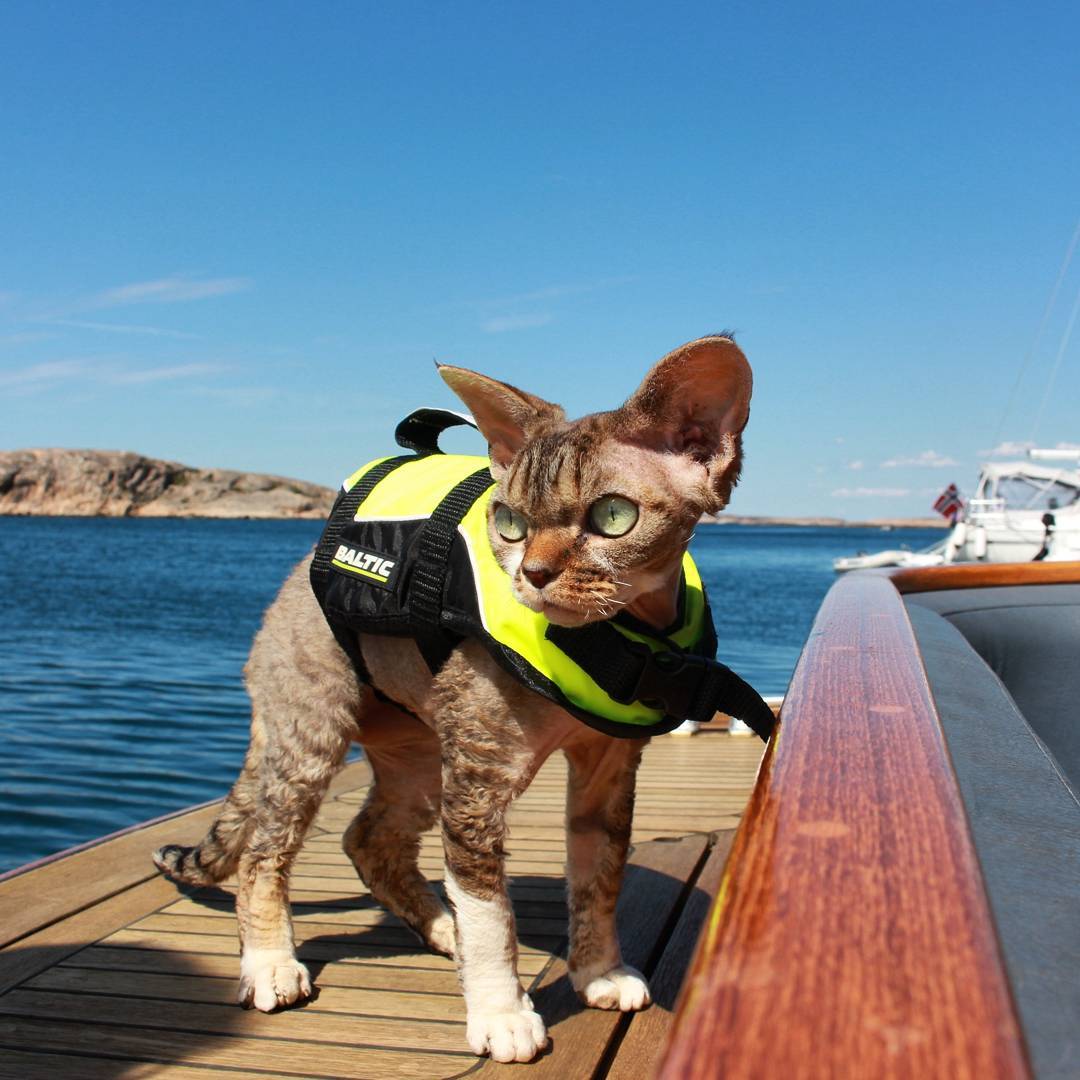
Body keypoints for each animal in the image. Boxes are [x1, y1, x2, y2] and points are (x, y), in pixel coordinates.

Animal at [154, 330, 751, 1062]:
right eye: (511, 523)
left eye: (614, 516)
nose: (534, 573)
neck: (621, 639)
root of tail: (285, 593)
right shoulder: (476, 779)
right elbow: (490, 909)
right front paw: (501, 1013)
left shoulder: (608, 767)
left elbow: (600, 876)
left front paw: (600, 972)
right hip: (313, 730)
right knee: (264, 852)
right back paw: (271, 964)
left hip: (417, 753)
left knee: (366, 839)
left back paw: (443, 930)